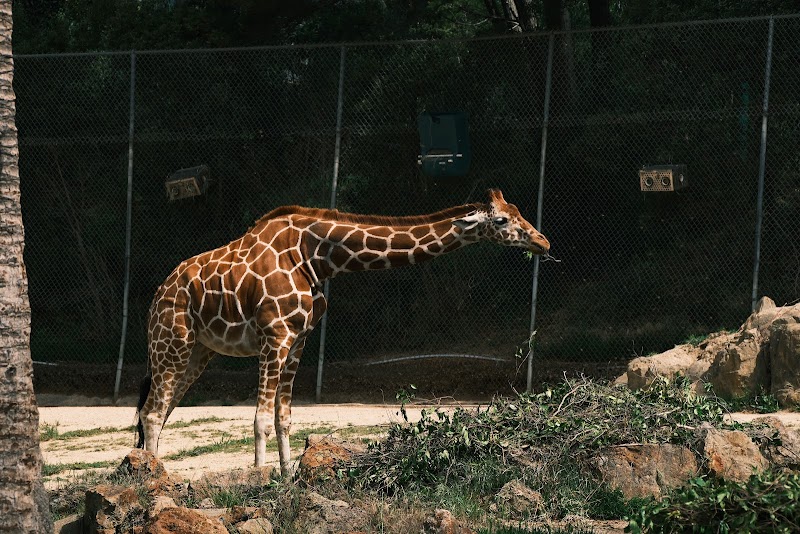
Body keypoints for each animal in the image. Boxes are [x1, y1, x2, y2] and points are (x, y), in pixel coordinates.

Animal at [135, 188, 550, 475]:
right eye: (502, 221)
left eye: (518, 212)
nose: (542, 241)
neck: (317, 258)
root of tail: (157, 294)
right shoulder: (274, 335)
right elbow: (260, 418)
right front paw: (258, 477)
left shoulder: (298, 339)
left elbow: (284, 417)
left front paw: (287, 479)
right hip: (171, 341)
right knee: (153, 412)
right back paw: (154, 479)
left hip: (198, 351)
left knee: (159, 410)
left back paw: (150, 472)